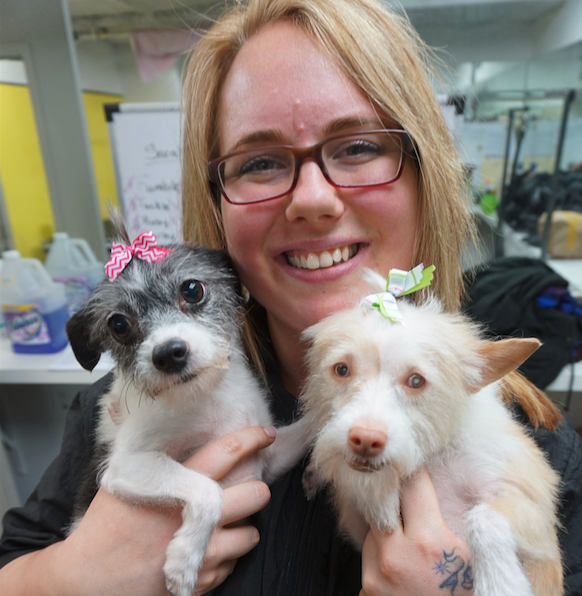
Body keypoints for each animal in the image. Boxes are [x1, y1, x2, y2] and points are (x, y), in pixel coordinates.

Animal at [65, 220, 310, 596]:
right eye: (118, 325)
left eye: (192, 290)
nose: (168, 354)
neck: (209, 395)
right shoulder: (126, 464)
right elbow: (207, 490)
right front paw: (184, 561)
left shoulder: (269, 452)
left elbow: (311, 425)